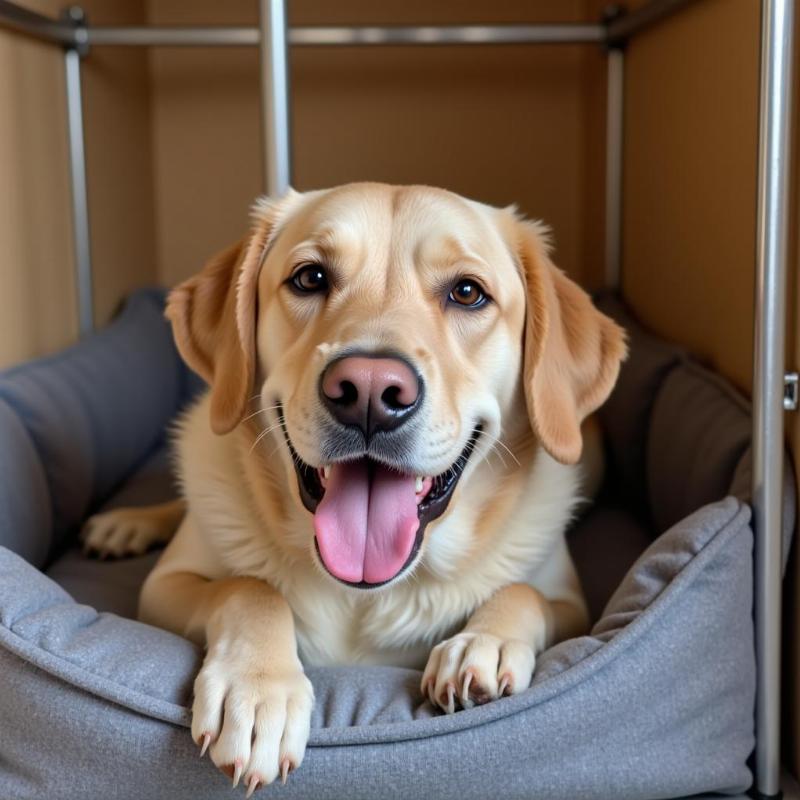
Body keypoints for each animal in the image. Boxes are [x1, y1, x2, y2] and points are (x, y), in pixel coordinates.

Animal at [84, 183, 628, 792]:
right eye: (310, 278)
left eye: (468, 292)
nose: (369, 392)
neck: (366, 592)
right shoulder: (163, 587)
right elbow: (249, 588)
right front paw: (258, 690)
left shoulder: (572, 604)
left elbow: (522, 592)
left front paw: (480, 645)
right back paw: (128, 523)